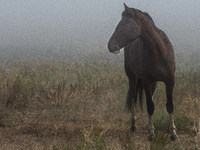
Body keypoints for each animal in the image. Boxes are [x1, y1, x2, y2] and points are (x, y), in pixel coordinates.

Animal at [108, 3, 180, 142]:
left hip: (154, 83)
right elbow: (150, 106)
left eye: (123, 24)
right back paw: (133, 126)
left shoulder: (170, 80)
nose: (110, 45)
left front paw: (173, 134)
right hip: (133, 77)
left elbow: (169, 106)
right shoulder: (146, 80)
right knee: (133, 99)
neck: (159, 51)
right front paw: (151, 133)